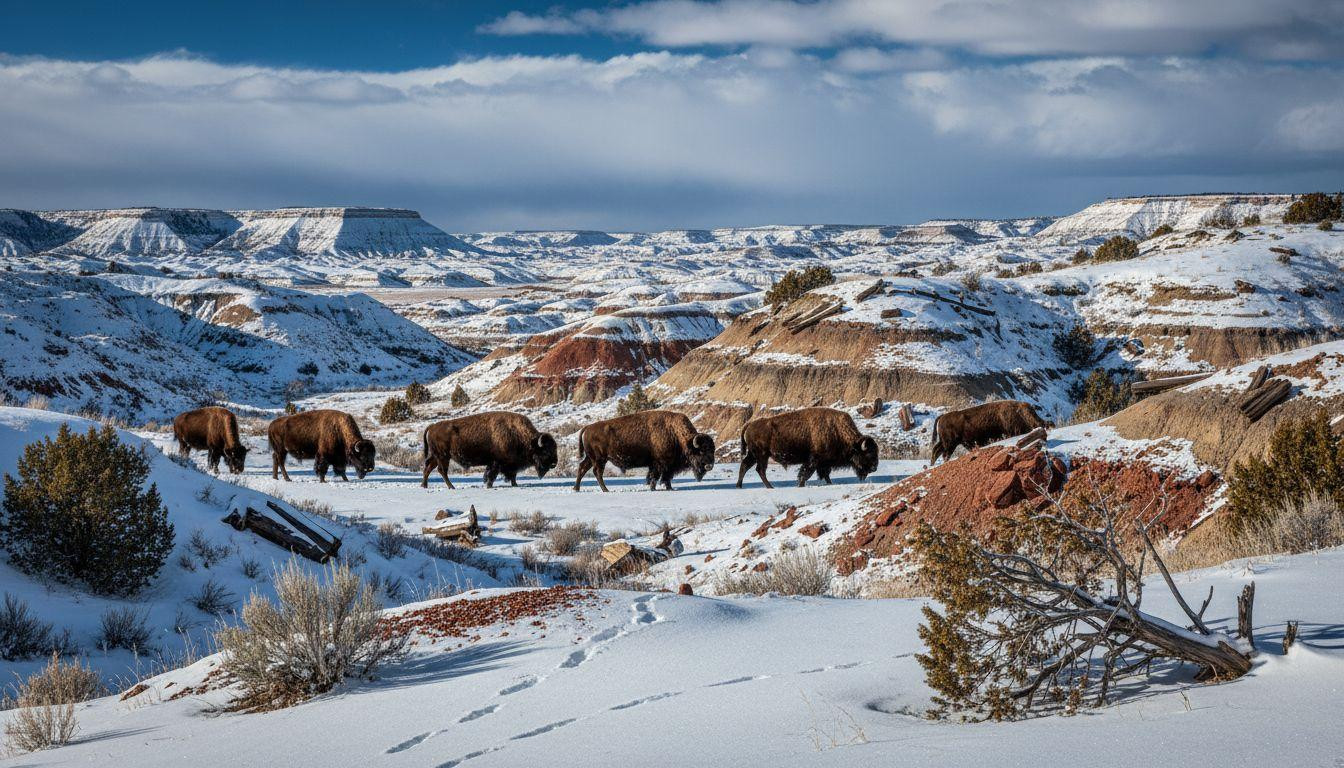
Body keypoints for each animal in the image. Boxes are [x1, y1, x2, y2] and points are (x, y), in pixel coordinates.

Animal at [421, 411, 558, 489]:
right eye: (546, 451)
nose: (554, 463)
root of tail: (432, 426)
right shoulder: (496, 463)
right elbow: (492, 475)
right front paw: (489, 485)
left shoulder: (510, 464)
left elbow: (513, 475)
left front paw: (515, 484)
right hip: (443, 456)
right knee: (441, 471)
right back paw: (451, 487)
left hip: (437, 456)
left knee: (428, 468)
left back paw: (424, 486)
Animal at [574, 410, 715, 492]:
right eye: (701, 451)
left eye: (712, 450)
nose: (709, 466)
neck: (677, 435)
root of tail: (588, 427)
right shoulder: (660, 463)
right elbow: (656, 476)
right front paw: (654, 489)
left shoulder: (666, 465)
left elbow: (665, 477)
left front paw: (669, 488)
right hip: (599, 459)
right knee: (597, 472)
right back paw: (605, 490)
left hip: (591, 458)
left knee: (582, 468)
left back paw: (576, 488)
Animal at [737, 407, 879, 488]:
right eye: (868, 453)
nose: (874, 468)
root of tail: (750, 424)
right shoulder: (814, 461)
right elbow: (806, 474)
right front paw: (800, 485)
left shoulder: (823, 463)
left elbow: (825, 475)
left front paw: (829, 484)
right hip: (762, 455)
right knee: (760, 470)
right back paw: (770, 487)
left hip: (754, 455)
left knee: (745, 465)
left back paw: (739, 486)